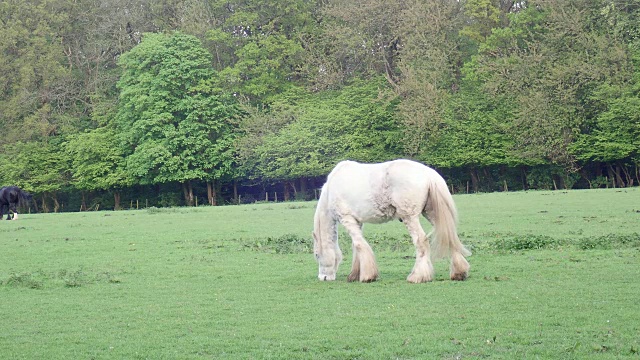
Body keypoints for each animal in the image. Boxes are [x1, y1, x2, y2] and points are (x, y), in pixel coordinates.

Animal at [312, 160, 472, 284]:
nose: (323, 277)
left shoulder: (347, 219)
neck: (331, 189)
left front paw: (368, 276)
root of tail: (430, 175)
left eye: (316, 255)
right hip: (432, 213)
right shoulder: (358, 222)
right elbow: (357, 247)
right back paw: (459, 273)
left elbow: (359, 245)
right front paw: (355, 275)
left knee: (421, 241)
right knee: (450, 238)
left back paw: (417, 276)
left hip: (410, 217)